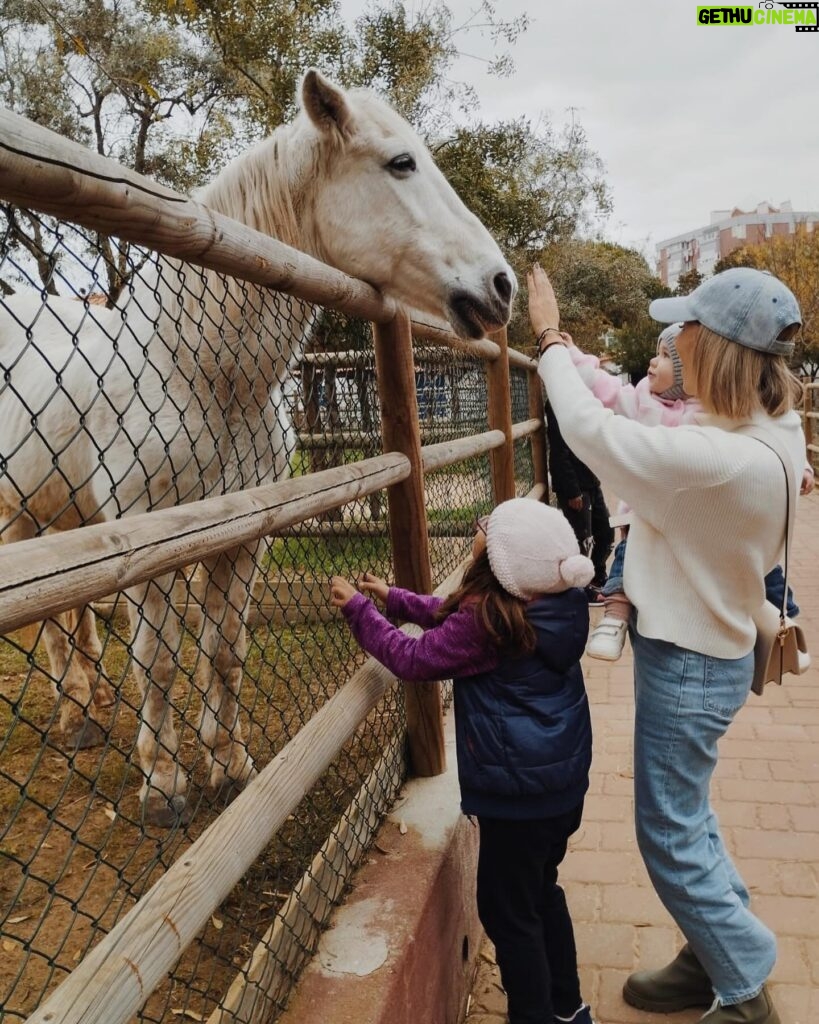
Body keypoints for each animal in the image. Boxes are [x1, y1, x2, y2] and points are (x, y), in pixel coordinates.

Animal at [0, 70, 511, 823]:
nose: (500, 286)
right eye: (400, 163)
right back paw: (73, 716)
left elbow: (224, 649)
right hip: (20, 521)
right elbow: (158, 659)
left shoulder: (243, 537)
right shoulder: (148, 545)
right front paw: (165, 783)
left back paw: (89, 712)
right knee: (54, 630)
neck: (200, 371)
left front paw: (229, 764)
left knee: (73, 621)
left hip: (60, 522)